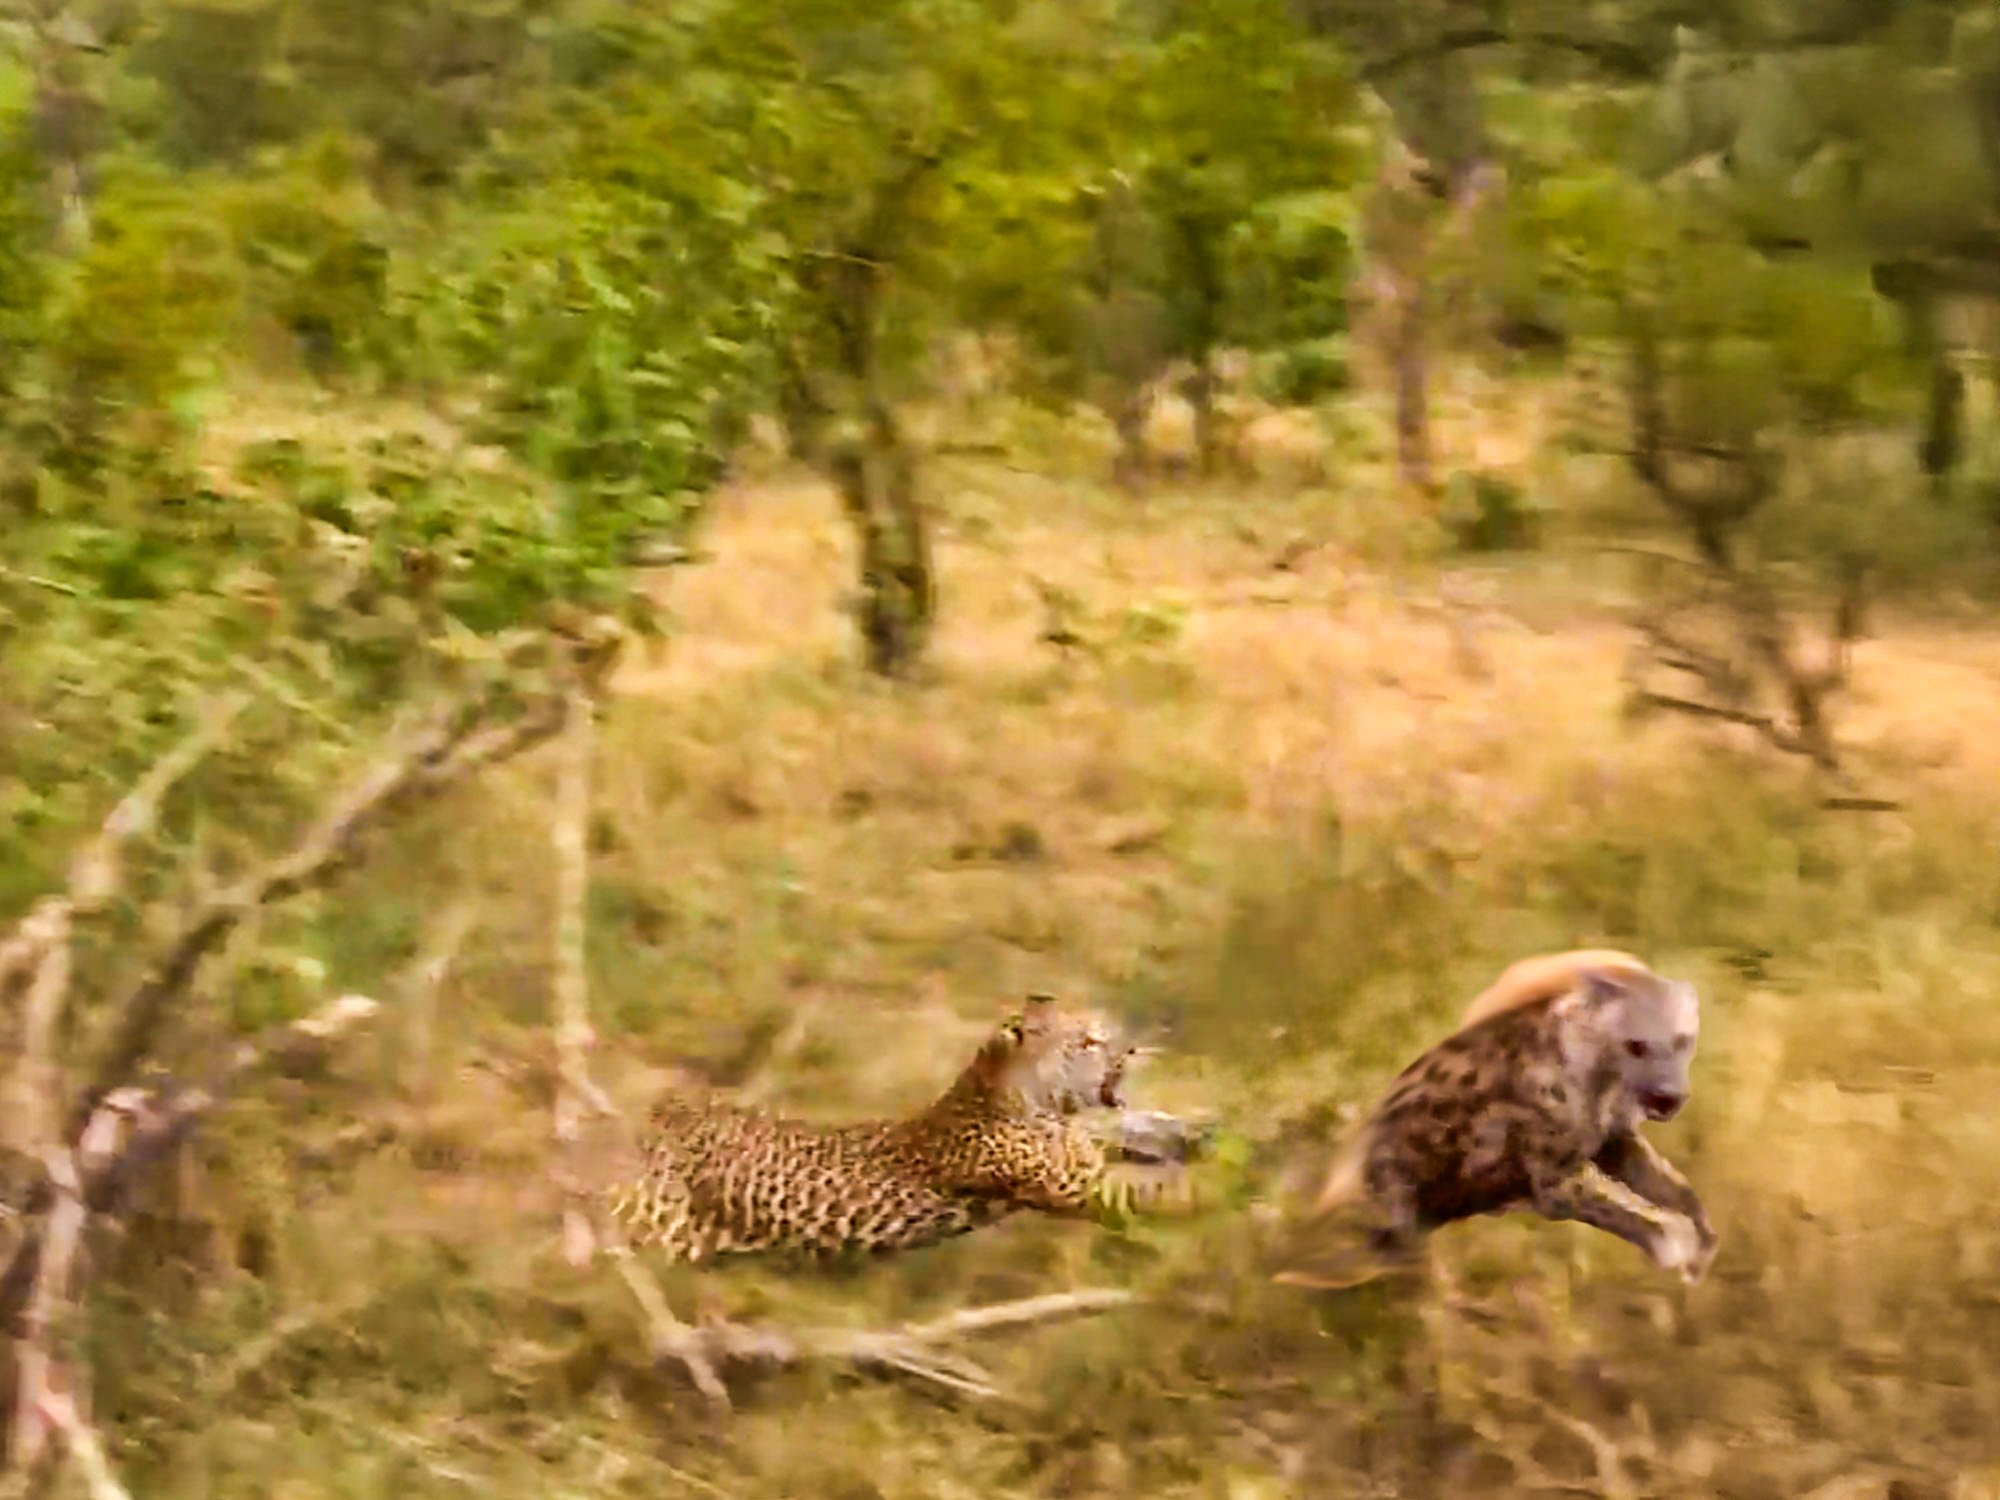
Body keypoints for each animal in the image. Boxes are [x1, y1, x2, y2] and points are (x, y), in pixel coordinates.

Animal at [604, 993, 1202, 1264]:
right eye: (1089, 1041)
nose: (1129, 1049)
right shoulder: (1076, 1187)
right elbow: (1155, 1191)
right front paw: (1212, 1191)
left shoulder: (1086, 1152)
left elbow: (1133, 1138)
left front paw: (1191, 1132)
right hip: (656, 1212)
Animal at [1271, 949, 1718, 1290]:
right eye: (1636, 1046)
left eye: (1682, 1041)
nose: (1670, 1098)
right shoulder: (1554, 1184)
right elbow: (1628, 1216)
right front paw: (1674, 1250)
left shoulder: (1613, 1141)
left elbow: (1673, 1188)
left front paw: (1701, 1248)